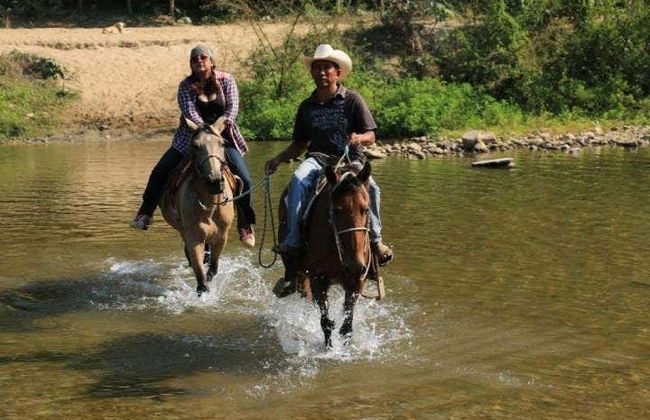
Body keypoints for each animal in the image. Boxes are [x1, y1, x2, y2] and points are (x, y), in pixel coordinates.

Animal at [159, 116, 234, 294]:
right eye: (195, 146)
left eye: (223, 144)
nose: (215, 181)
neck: (211, 206)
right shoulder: (193, 237)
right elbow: (200, 274)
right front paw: (203, 289)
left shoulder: (222, 236)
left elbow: (213, 267)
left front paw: (210, 275)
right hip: (182, 230)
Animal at [295, 162, 375, 348]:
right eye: (336, 210)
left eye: (366, 209)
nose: (354, 266)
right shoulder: (318, 279)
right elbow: (325, 322)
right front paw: (329, 347)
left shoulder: (357, 280)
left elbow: (347, 327)